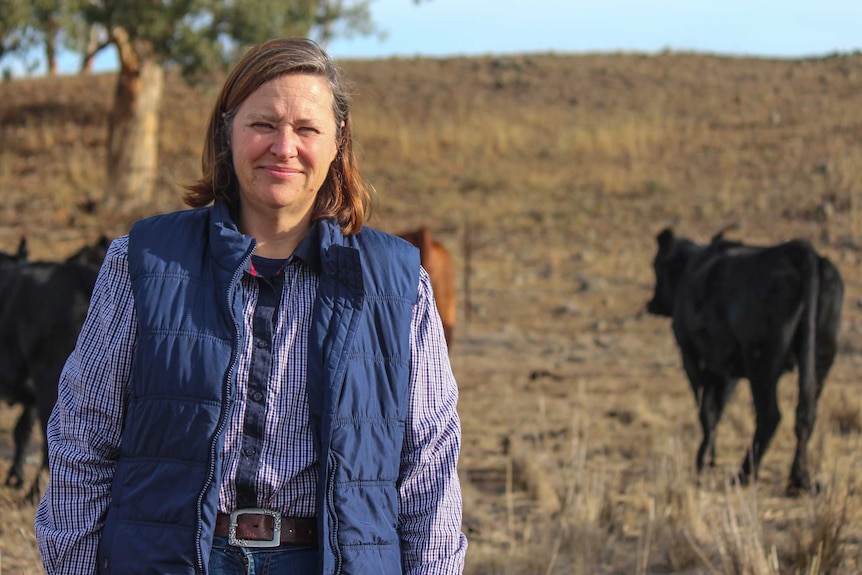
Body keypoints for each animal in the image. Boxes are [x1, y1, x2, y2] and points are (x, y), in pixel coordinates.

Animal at [648, 227, 844, 498]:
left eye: (656, 265)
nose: (652, 304)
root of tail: (800, 252)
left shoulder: (695, 360)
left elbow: (707, 411)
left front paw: (703, 462)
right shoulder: (728, 371)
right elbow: (718, 408)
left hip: (762, 364)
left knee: (770, 415)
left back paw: (743, 475)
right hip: (821, 357)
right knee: (806, 413)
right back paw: (799, 480)